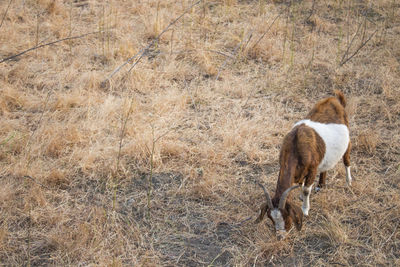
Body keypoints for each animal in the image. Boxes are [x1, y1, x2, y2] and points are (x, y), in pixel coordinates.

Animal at [256, 91, 354, 240]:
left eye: (287, 216)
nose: (280, 236)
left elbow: (306, 189)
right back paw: (320, 186)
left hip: (347, 143)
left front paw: (305, 208)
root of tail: (336, 100)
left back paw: (348, 182)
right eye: (270, 218)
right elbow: (301, 185)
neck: (295, 145)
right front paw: (302, 197)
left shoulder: (312, 169)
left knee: (346, 161)